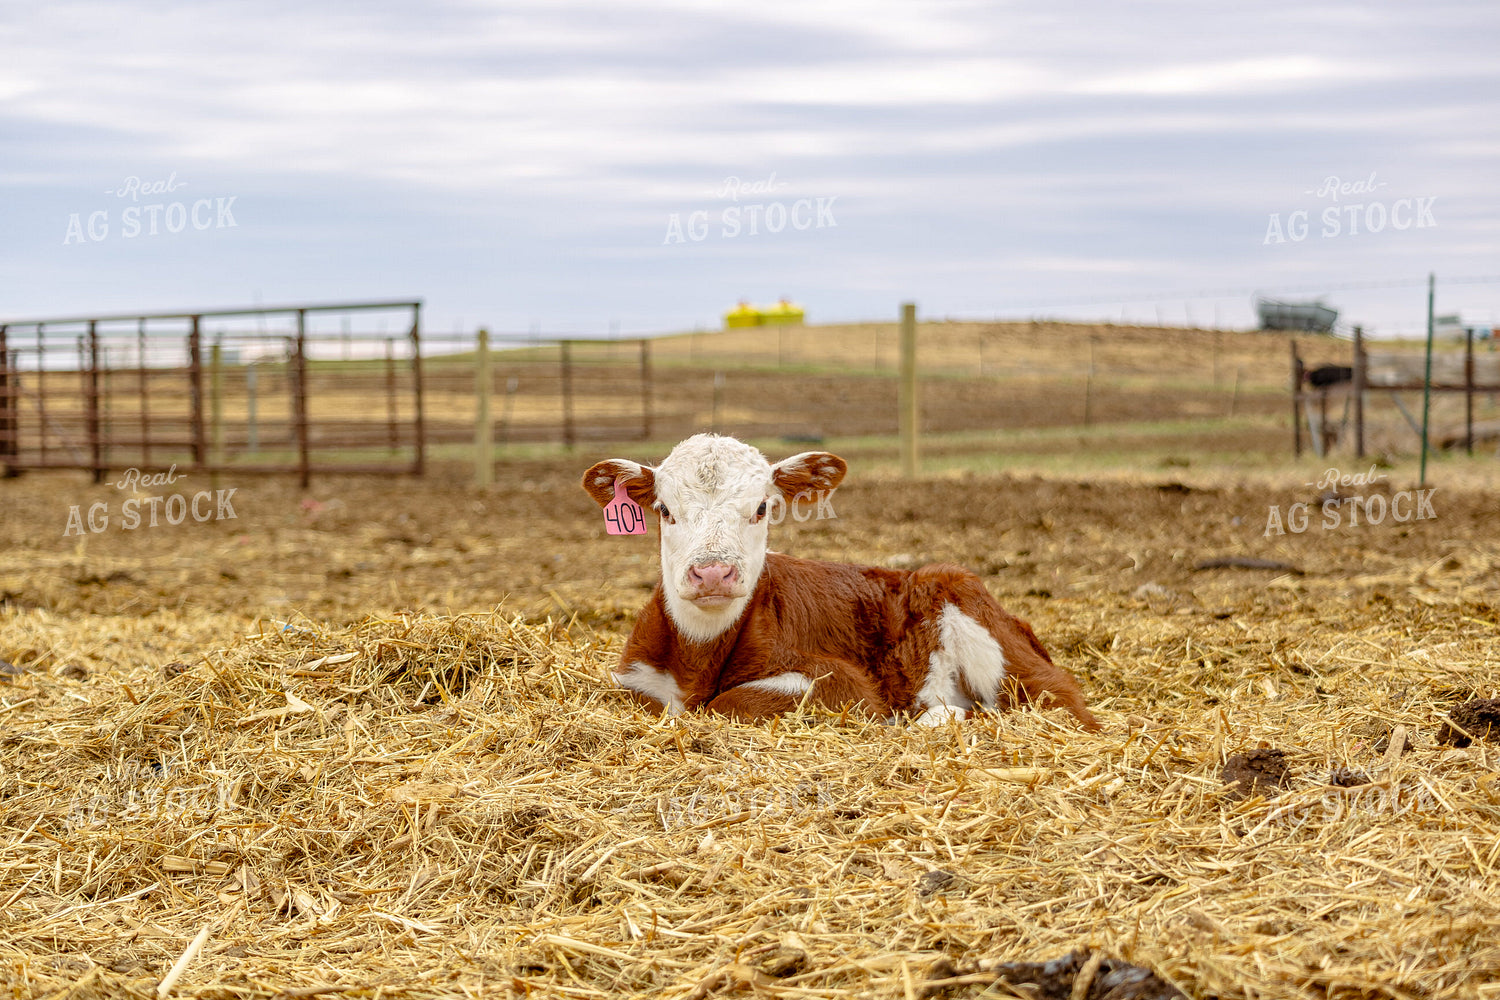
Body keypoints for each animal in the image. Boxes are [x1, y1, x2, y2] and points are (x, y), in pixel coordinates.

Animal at [581, 434, 1101, 731]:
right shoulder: (632, 679)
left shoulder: (841, 683)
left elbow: (731, 702)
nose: (713, 572)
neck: (697, 658)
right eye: (664, 510)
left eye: (762, 507)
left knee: (1058, 703)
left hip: (986, 631)